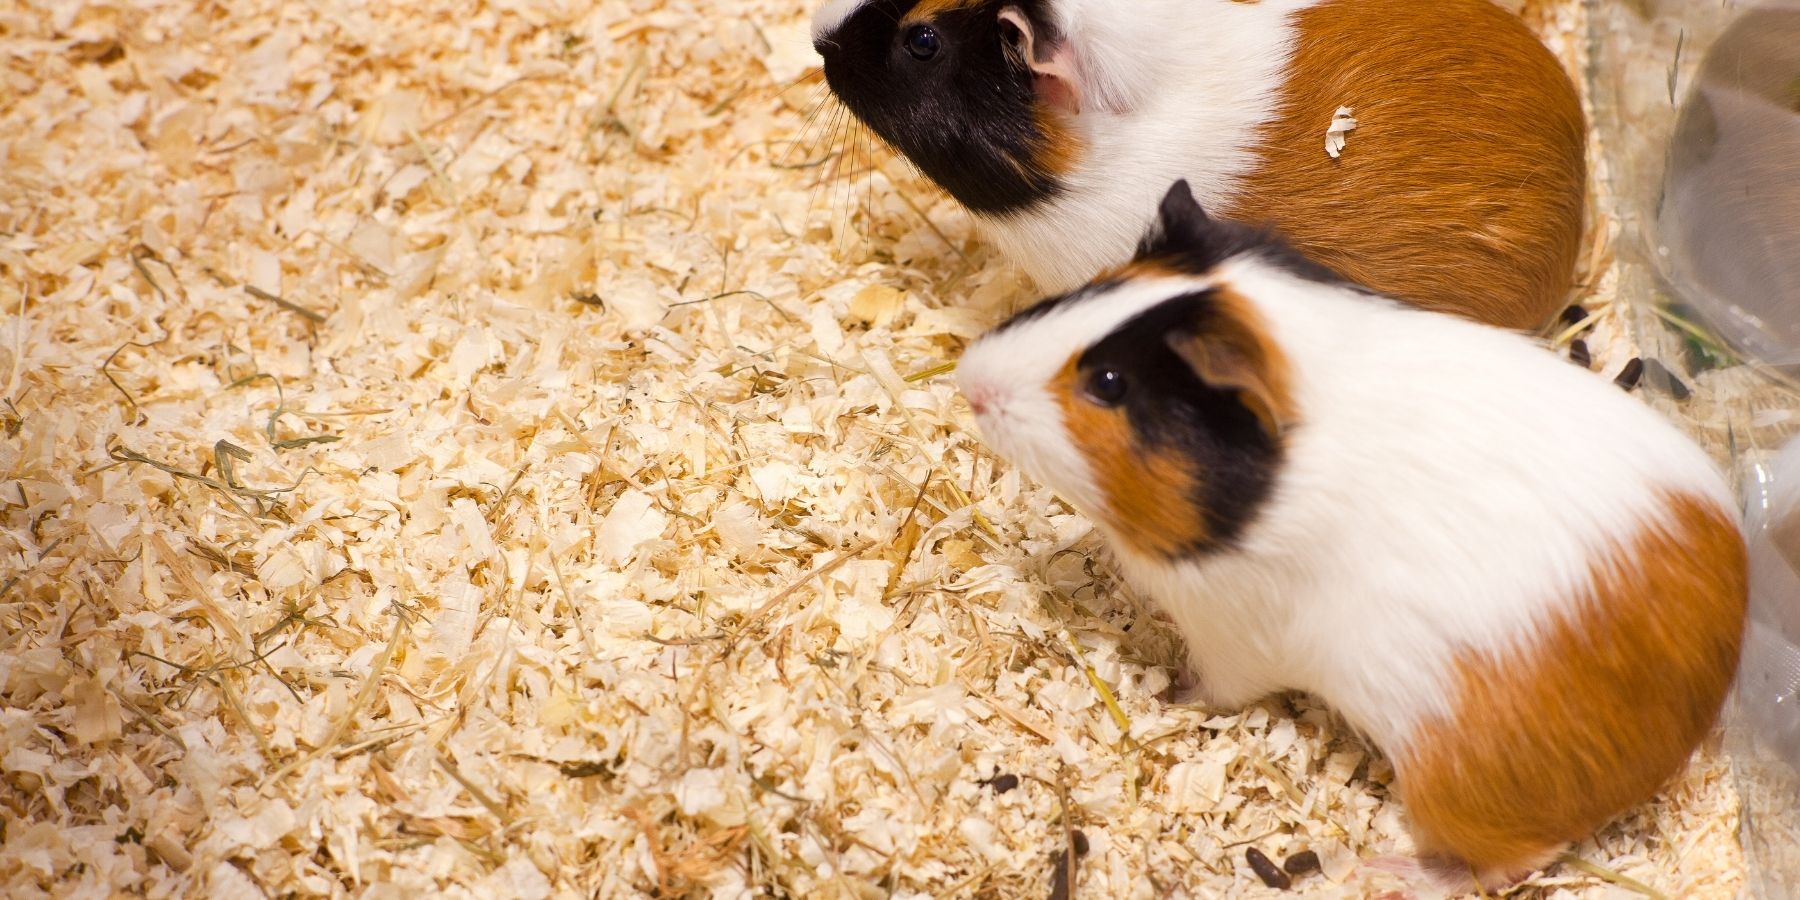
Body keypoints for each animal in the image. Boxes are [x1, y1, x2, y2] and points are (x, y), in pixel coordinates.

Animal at [956, 182, 1746, 892]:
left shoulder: (1232, 636)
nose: (968, 380)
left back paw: (1390, 873)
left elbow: (1211, 688)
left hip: (1451, 785)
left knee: (1513, 860)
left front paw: (1169, 700)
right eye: (1094, 290)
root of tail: (1688, 724)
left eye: (1111, 383)